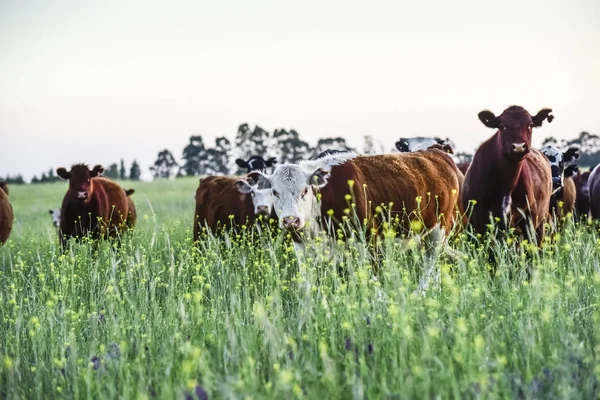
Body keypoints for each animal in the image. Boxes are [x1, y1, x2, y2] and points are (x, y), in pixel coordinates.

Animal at [464, 106, 552, 253]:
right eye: (502, 125)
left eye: (530, 125)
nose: (519, 146)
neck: (506, 184)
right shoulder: (479, 222)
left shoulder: (529, 219)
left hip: (541, 221)